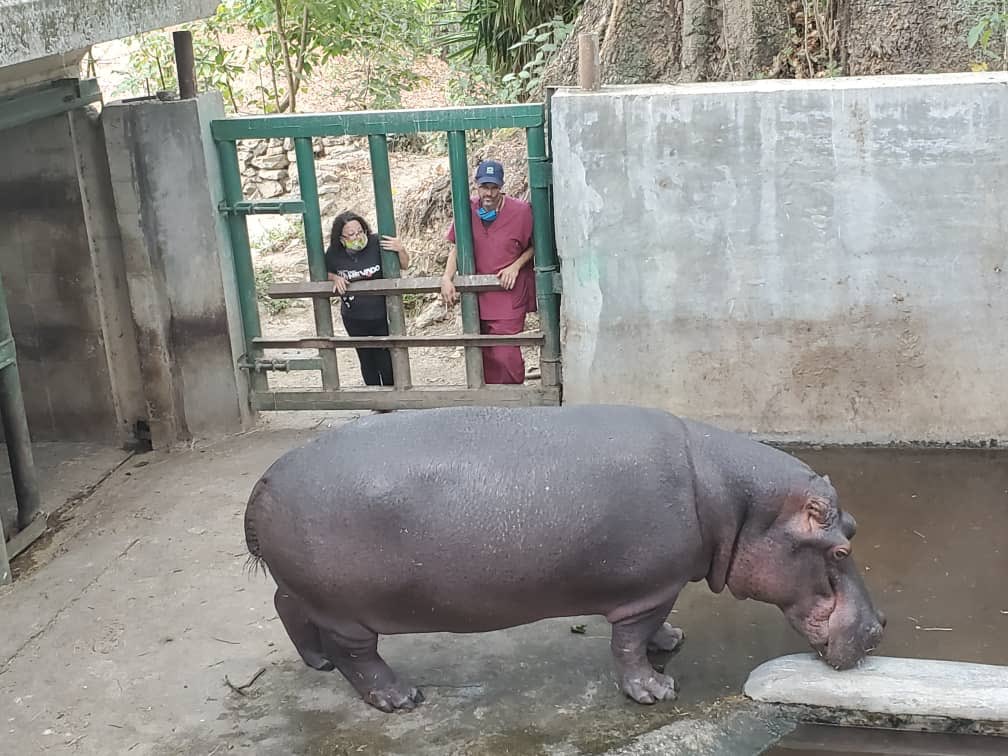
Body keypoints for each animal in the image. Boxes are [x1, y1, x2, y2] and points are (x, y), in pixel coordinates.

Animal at [243, 405, 883, 713]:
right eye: (841, 547)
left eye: (853, 528)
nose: (880, 627)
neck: (739, 502)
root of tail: (264, 480)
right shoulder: (649, 587)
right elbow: (628, 643)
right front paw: (656, 691)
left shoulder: (662, 586)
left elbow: (652, 631)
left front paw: (671, 643)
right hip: (347, 612)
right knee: (359, 657)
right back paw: (400, 699)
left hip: (306, 592)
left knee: (284, 604)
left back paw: (316, 664)